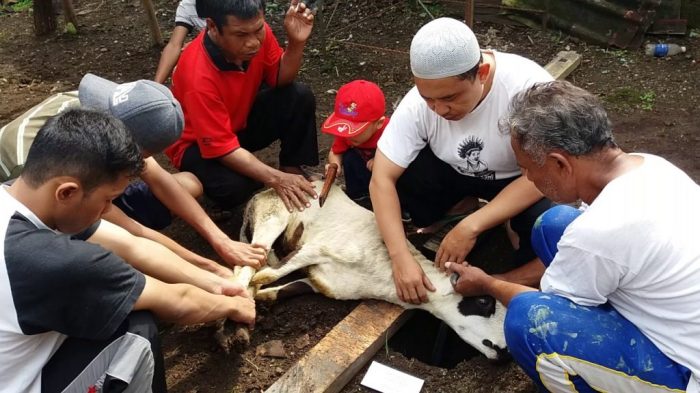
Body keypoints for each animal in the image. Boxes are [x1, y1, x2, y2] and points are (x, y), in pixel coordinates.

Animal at [242, 181, 508, 358]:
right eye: (484, 301)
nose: (505, 352)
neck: (382, 273)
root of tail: (261, 193)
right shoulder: (316, 248)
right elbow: (267, 274)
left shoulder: (324, 284)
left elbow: (281, 289)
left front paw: (261, 298)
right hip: (271, 218)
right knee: (250, 263)